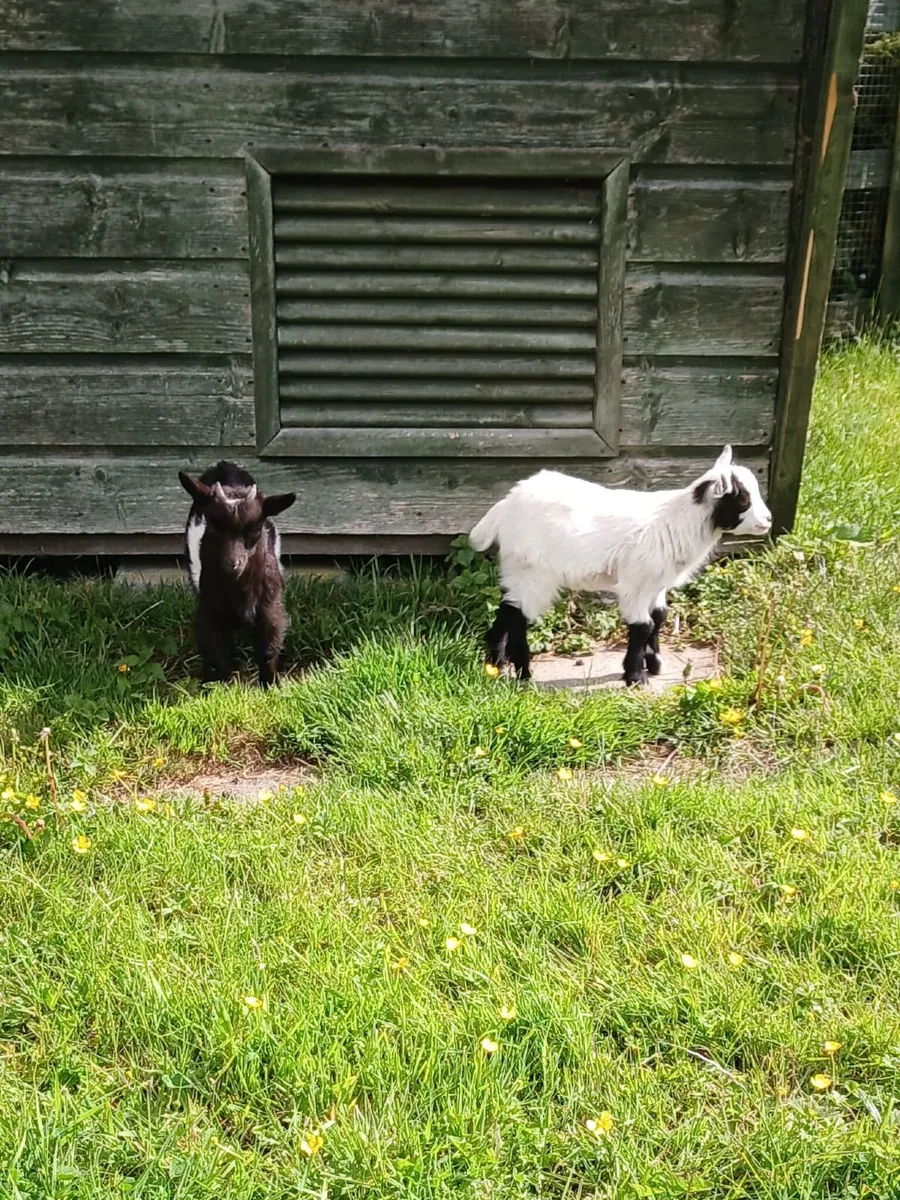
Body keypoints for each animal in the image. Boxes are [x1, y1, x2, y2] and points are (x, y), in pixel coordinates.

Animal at [178, 461, 296, 687]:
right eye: (213, 524)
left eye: (255, 528)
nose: (233, 563)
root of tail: (225, 465)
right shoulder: (210, 611)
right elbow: (215, 656)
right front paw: (212, 687)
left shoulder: (270, 609)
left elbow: (268, 651)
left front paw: (270, 685)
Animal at [469, 445, 772, 685]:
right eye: (743, 498)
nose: (768, 519)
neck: (679, 522)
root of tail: (508, 503)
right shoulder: (635, 583)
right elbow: (642, 626)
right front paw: (635, 676)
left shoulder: (656, 585)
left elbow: (659, 617)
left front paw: (654, 663)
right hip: (535, 572)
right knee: (519, 615)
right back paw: (523, 673)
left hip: (518, 569)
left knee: (508, 607)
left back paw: (495, 663)